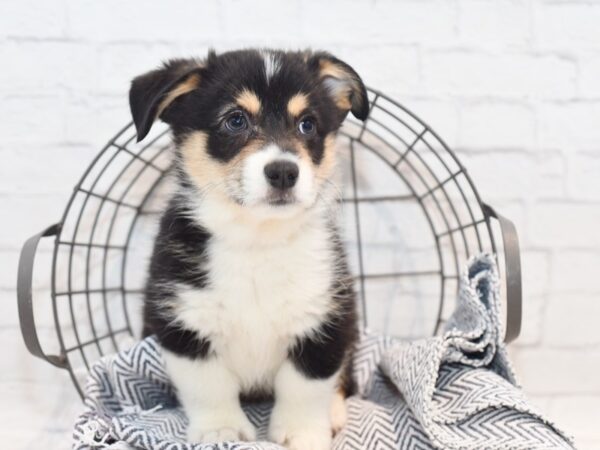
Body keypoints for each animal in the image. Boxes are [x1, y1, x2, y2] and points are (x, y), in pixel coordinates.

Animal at [129, 49, 368, 450]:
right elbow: (209, 386)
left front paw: (303, 434)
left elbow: (304, 389)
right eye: (235, 120)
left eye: (307, 124)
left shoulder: (324, 322)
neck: (257, 241)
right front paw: (220, 430)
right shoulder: (184, 324)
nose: (284, 172)